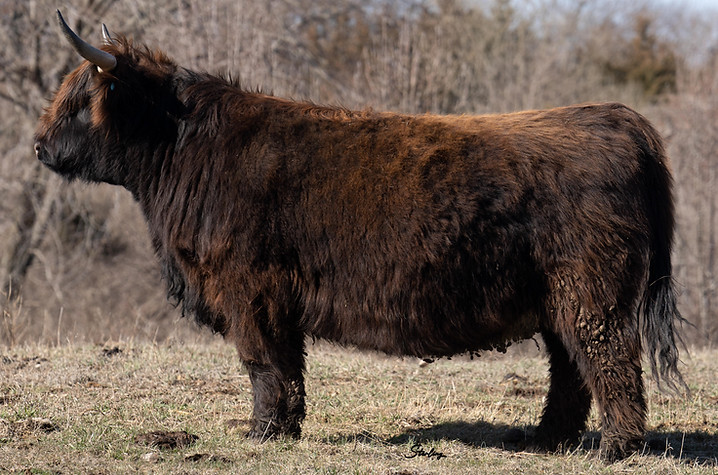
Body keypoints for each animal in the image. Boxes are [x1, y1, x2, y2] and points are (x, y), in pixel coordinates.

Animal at [34, 11, 685, 461]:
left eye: (79, 101)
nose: (38, 146)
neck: (185, 147)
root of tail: (614, 117)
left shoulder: (248, 290)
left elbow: (261, 363)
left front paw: (261, 432)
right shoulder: (275, 299)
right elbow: (287, 366)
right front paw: (287, 427)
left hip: (590, 292)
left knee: (609, 360)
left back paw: (615, 448)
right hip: (558, 298)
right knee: (571, 371)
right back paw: (544, 439)